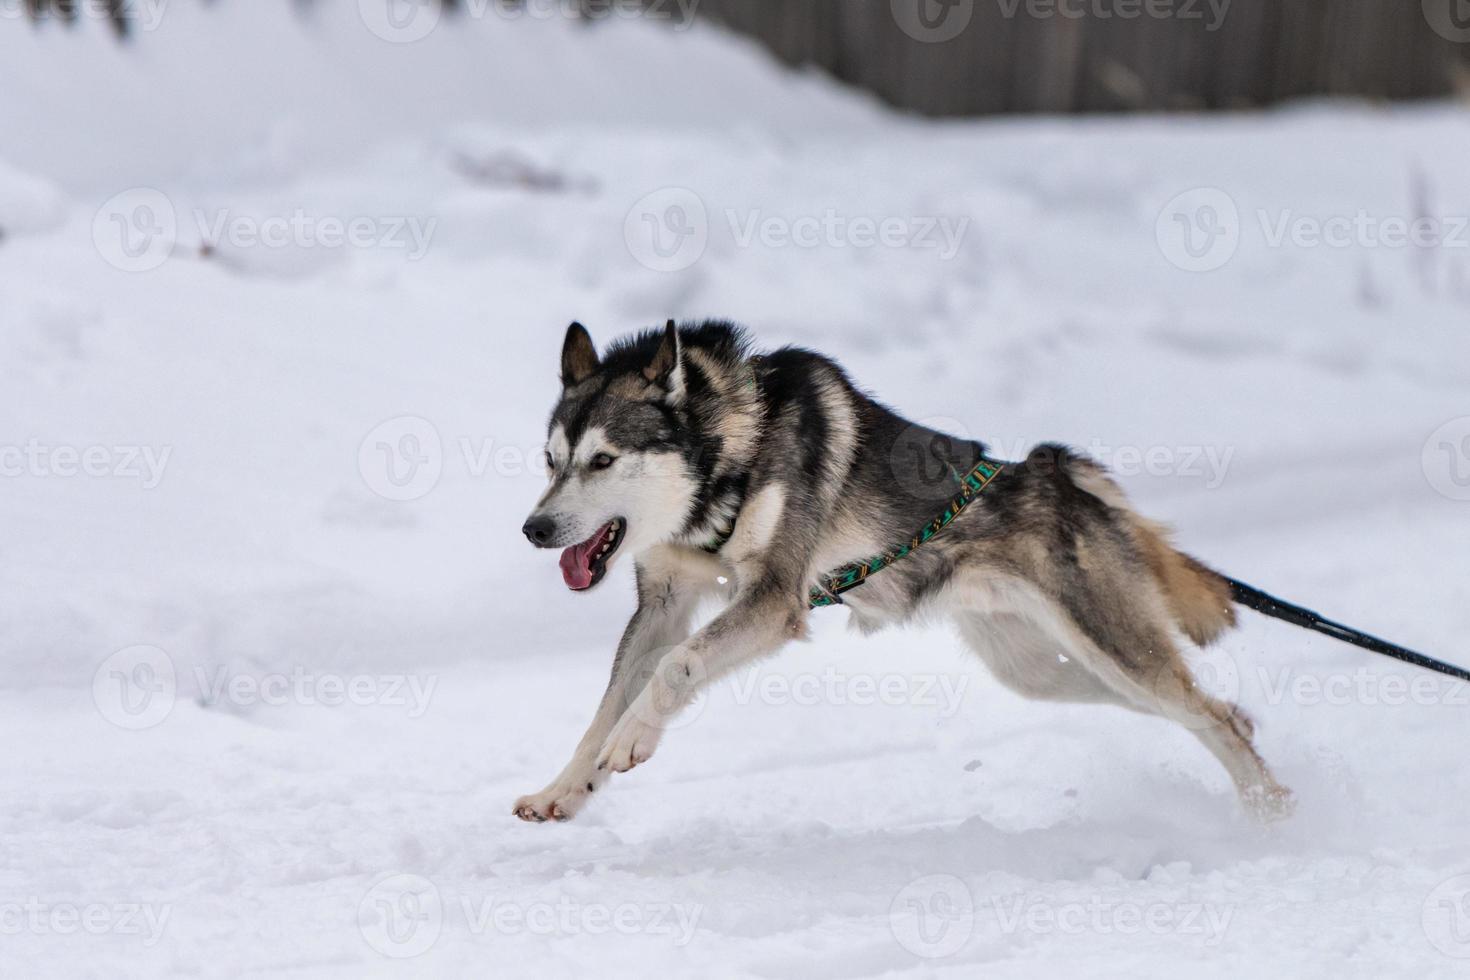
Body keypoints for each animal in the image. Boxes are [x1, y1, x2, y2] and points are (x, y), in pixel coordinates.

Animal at [514, 320, 1287, 822]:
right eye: (551, 462)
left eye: (603, 460)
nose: (535, 529)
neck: (731, 451)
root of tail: (1060, 473)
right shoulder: (665, 601)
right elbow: (606, 706)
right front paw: (566, 787)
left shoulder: (771, 601)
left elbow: (675, 668)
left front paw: (634, 737)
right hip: (1049, 671)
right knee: (1211, 712)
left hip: (1113, 646)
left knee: (1206, 715)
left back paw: (1273, 811)